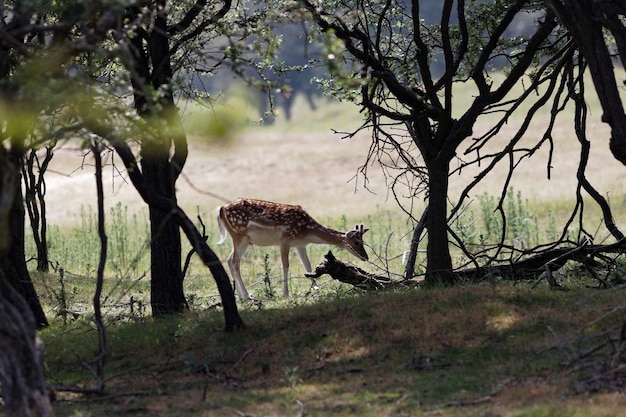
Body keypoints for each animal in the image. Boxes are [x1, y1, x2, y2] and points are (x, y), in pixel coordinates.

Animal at [217, 198, 368, 300]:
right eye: (356, 242)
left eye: (363, 241)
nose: (366, 257)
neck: (307, 231)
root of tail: (221, 209)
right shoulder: (285, 240)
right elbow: (285, 265)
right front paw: (286, 294)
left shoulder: (300, 244)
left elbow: (307, 264)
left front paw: (316, 288)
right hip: (239, 235)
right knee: (235, 262)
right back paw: (247, 296)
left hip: (243, 239)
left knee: (229, 260)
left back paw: (240, 296)